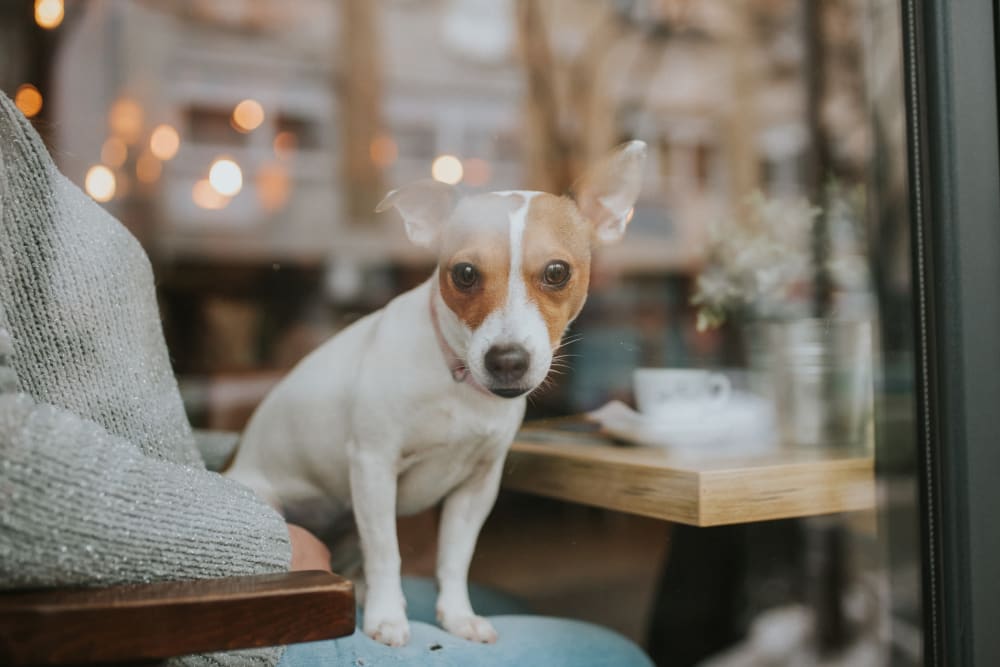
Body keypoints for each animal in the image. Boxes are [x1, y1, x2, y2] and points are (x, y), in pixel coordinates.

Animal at [227, 142, 648, 648]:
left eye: (557, 272)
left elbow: (454, 557)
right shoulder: (373, 466)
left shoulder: (476, 488)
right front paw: (388, 617)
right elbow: (387, 552)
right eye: (464, 273)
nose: (507, 360)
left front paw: (456, 616)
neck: (458, 383)